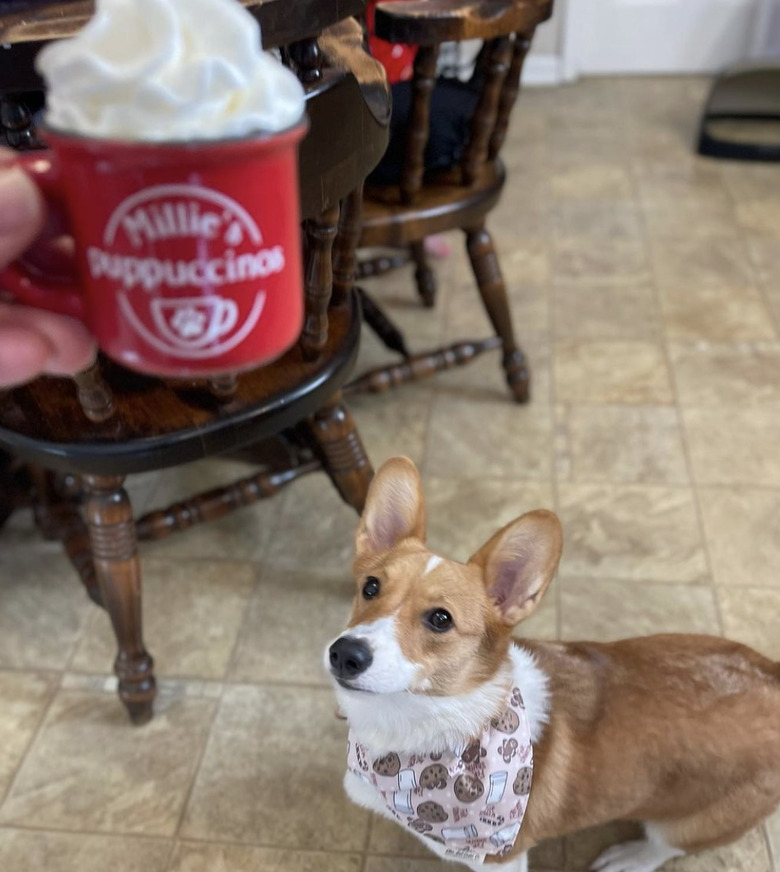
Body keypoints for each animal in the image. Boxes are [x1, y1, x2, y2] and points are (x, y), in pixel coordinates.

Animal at [324, 456, 780, 872]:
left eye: (440, 619)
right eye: (371, 587)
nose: (345, 654)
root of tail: (773, 674)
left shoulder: (502, 857)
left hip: (689, 824)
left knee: (665, 845)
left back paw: (629, 857)